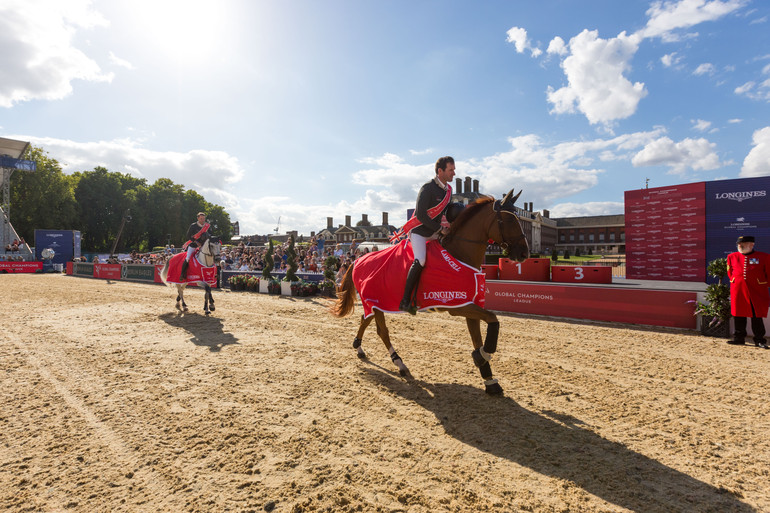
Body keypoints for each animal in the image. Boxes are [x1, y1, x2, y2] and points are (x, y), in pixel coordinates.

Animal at [330, 190, 528, 394]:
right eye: (509, 219)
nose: (524, 253)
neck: (458, 253)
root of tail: (358, 259)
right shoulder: (456, 305)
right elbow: (493, 319)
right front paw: (482, 356)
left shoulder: (468, 304)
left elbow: (480, 334)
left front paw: (489, 379)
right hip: (377, 301)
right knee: (382, 331)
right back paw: (399, 363)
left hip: (377, 302)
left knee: (365, 319)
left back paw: (359, 347)